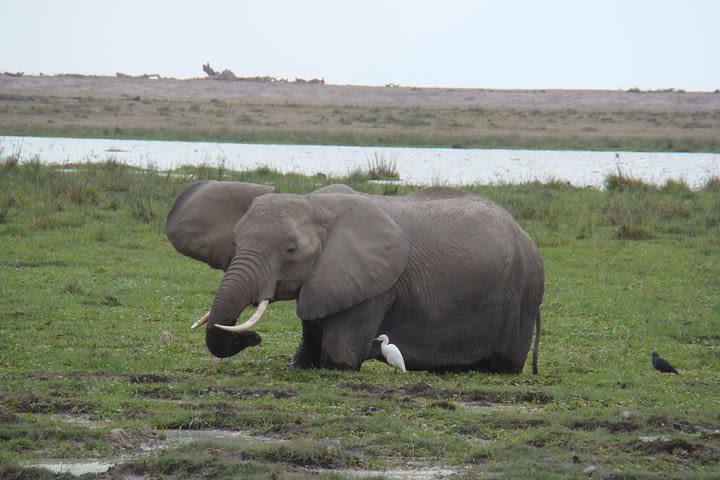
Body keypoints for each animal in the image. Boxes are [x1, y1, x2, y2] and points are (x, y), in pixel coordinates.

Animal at [166, 182, 544, 374]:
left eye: (290, 251)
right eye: (234, 242)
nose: (253, 338)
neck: (317, 205)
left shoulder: (376, 286)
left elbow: (340, 356)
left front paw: (338, 365)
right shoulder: (326, 279)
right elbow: (312, 330)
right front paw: (300, 364)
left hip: (521, 296)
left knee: (506, 363)